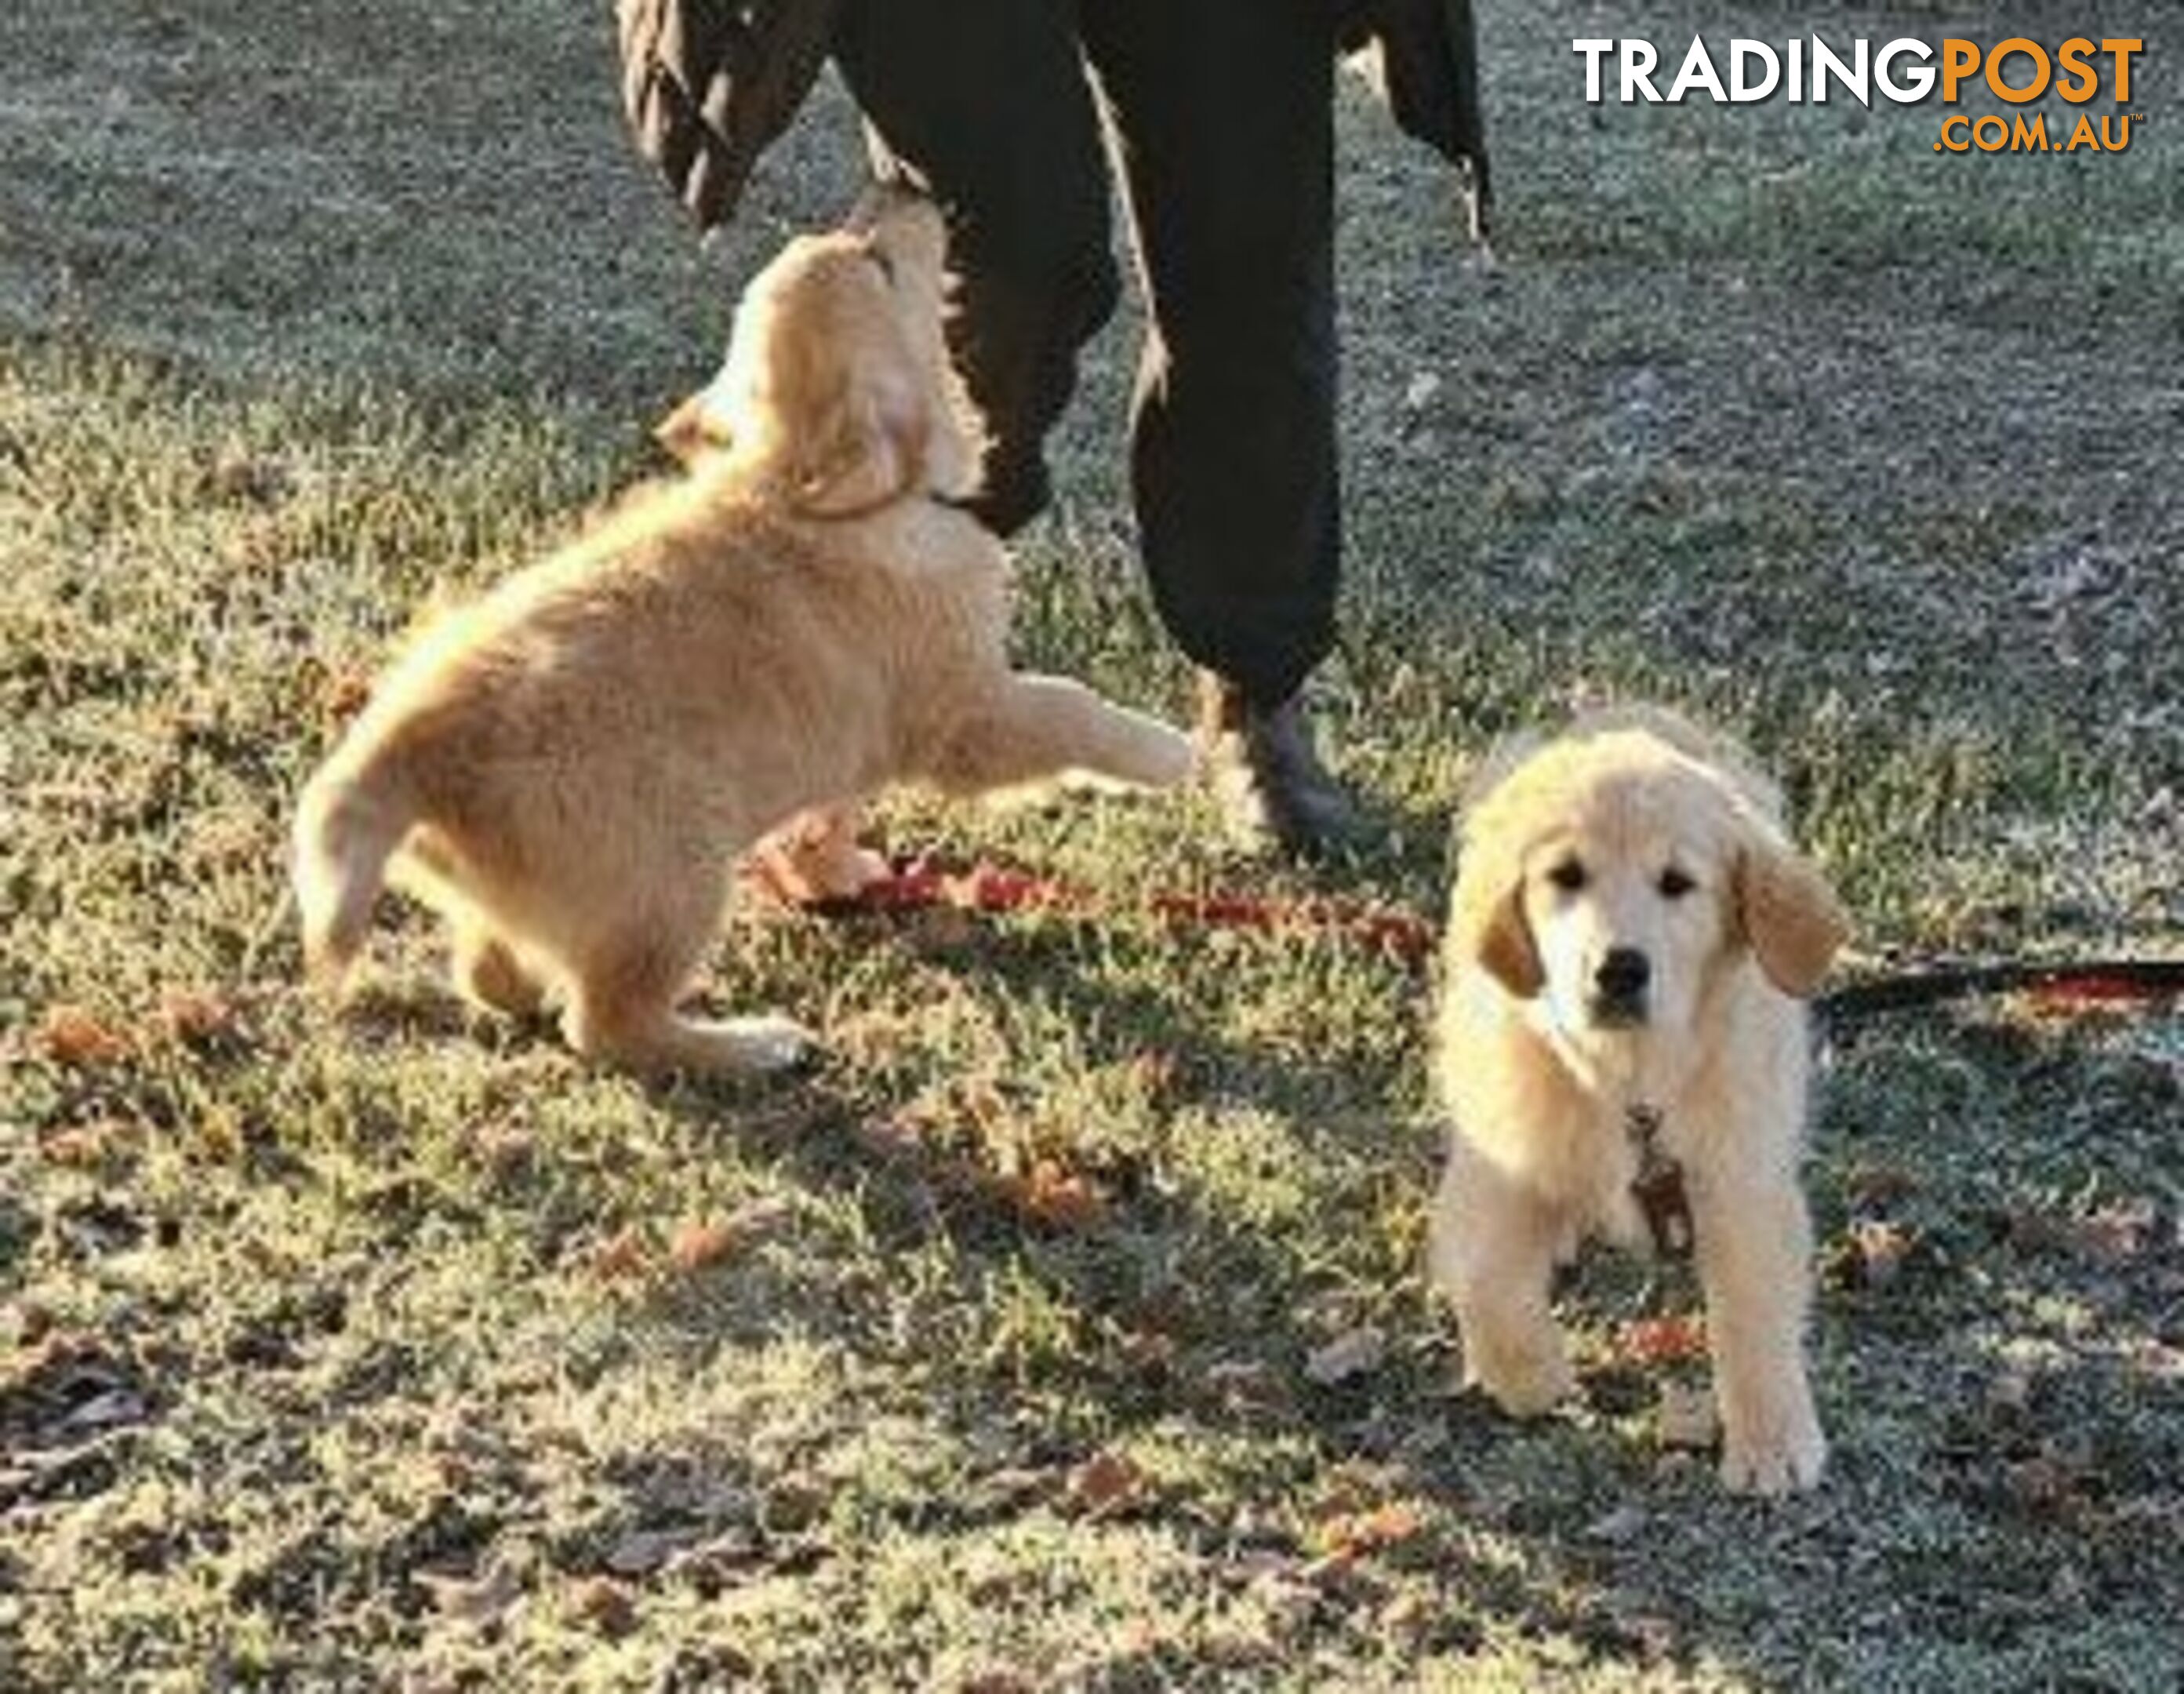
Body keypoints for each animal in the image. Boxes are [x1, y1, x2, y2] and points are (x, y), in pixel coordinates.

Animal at [290, 191, 1197, 1074]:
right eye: (881, 263)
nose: (906, 185)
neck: (805, 484)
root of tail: (401, 749)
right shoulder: (966, 711)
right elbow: (1072, 707)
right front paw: (1170, 753)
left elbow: (833, 813)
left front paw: (837, 872)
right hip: (674, 880)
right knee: (609, 1025)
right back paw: (754, 1045)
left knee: (490, 973)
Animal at [1423, 707, 1851, 1492]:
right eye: (1564, 876)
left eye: (1677, 883)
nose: (1617, 970)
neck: (1627, 1084)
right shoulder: (1494, 1164)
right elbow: (1487, 1281)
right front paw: (1532, 1378)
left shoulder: (1742, 1180)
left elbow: (1753, 1313)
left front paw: (1771, 1441)